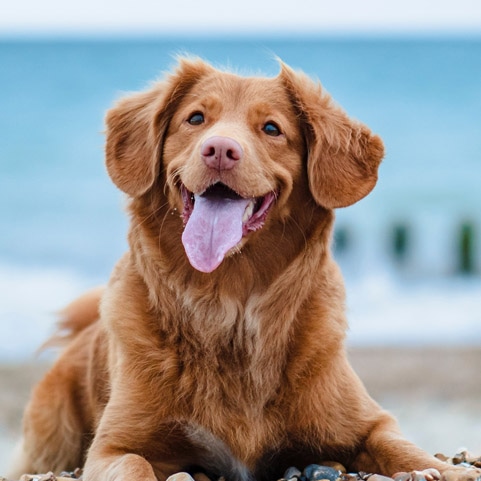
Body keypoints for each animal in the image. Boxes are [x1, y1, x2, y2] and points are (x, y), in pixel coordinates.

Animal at [8, 59, 480, 480]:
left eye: (271, 128)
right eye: (196, 118)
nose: (219, 150)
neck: (229, 306)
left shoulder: (368, 423)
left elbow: (404, 449)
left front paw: (446, 471)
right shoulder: (114, 446)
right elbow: (134, 465)